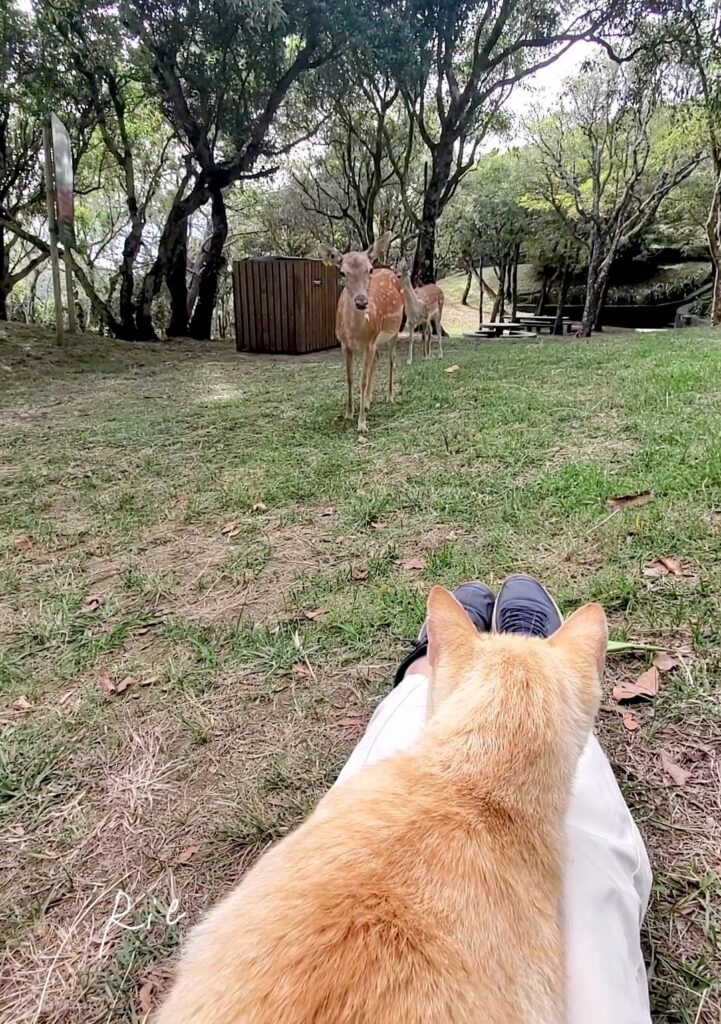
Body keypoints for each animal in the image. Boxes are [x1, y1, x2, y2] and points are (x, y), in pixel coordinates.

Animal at [320, 232, 404, 433]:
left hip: (394, 330)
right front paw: (349, 413)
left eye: (370, 269)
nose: (361, 301)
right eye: (342, 272)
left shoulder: (370, 342)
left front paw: (362, 424)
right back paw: (367, 401)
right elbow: (350, 378)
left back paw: (389, 396)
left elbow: (362, 380)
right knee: (378, 358)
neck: (355, 332)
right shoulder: (344, 344)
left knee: (392, 359)